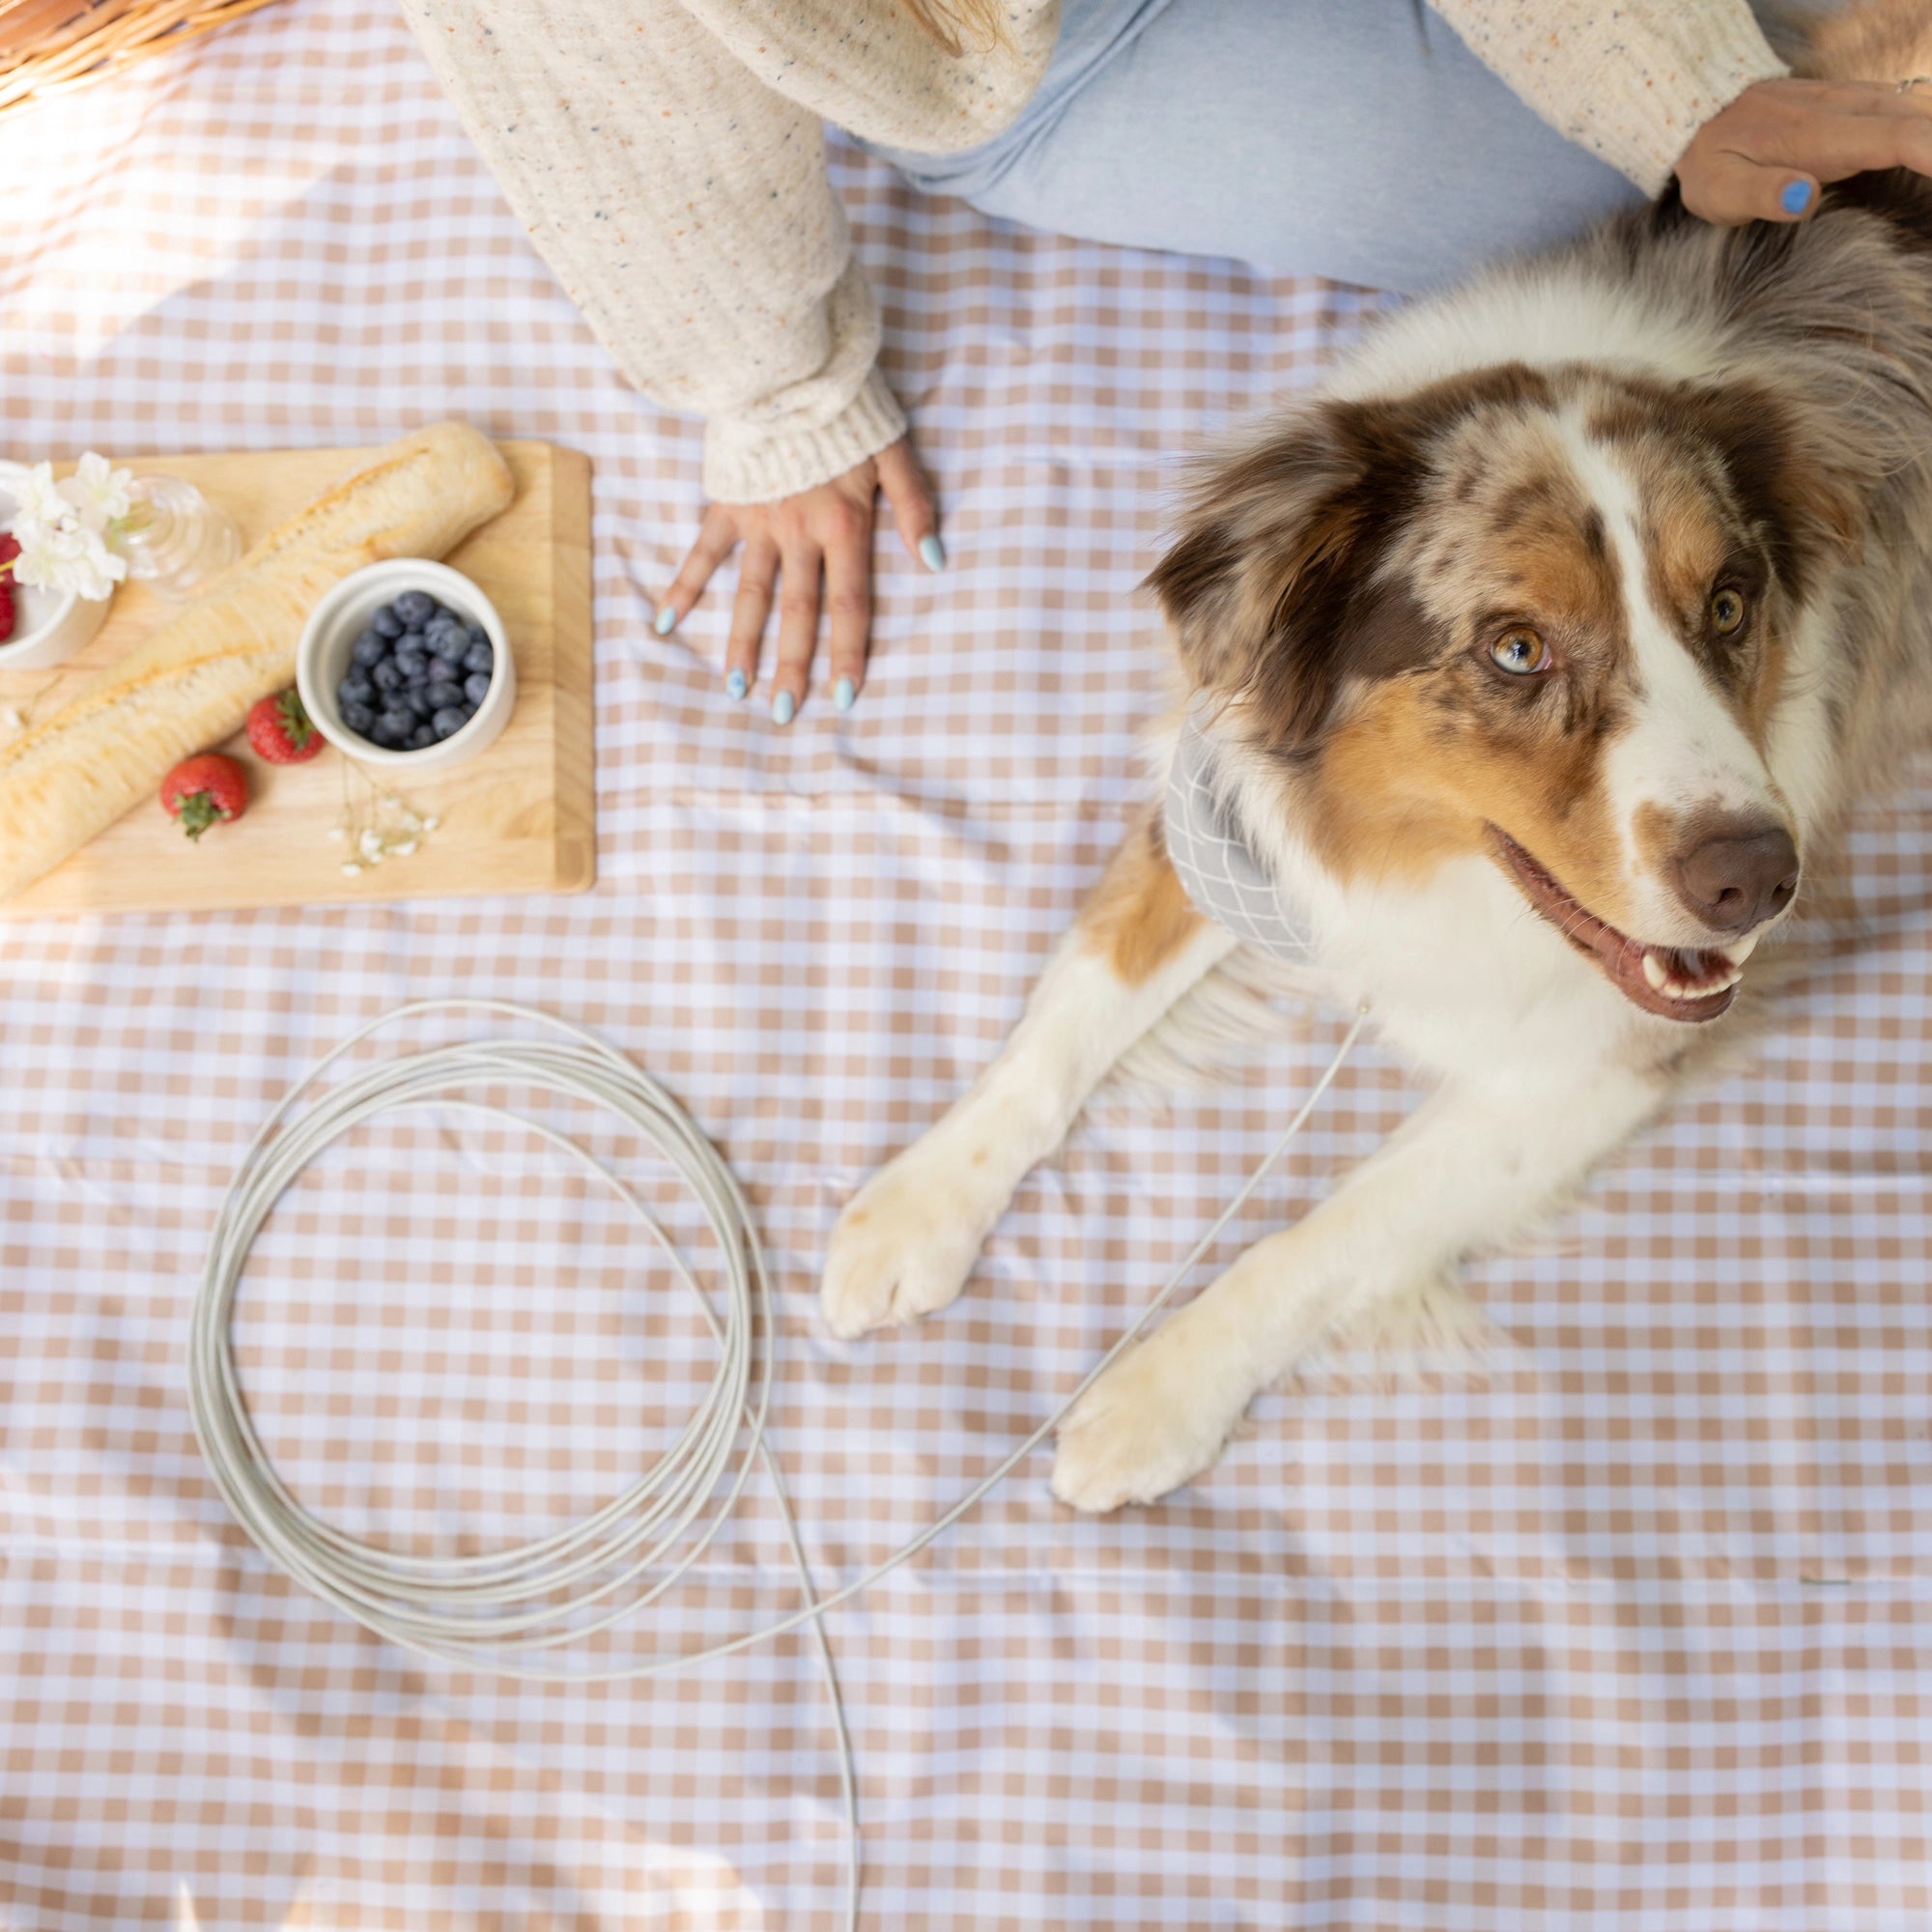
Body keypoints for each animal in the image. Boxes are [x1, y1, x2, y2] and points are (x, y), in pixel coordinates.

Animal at [823, 3, 1932, 1507]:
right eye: (1516, 648)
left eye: (1727, 605)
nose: (1760, 885)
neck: (1427, 862)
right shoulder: (1231, 797)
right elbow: (1071, 1003)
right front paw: (921, 1203)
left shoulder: (1591, 1062)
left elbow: (1324, 1234)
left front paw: (1151, 1396)